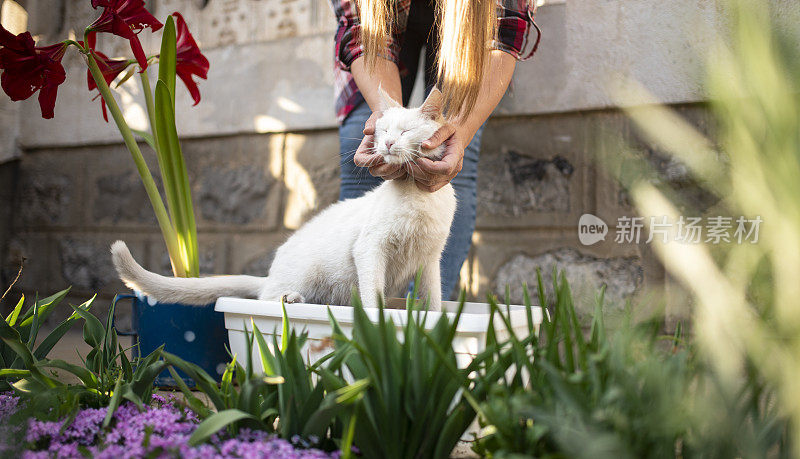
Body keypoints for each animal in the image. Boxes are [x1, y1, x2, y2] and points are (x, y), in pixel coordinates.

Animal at [111, 88, 456, 310]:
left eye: (405, 131)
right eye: (383, 130)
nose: (386, 143)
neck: (418, 196)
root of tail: (270, 276)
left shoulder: (430, 260)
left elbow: (434, 298)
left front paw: (435, 322)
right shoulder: (369, 248)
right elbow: (373, 292)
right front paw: (377, 321)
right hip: (307, 273)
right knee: (266, 299)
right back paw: (290, 298)